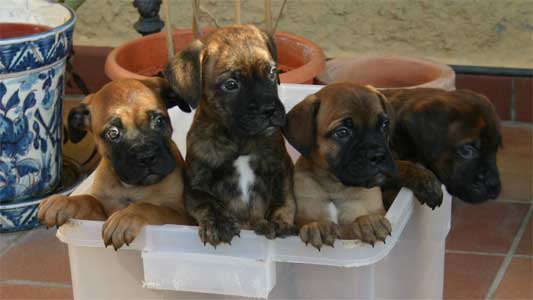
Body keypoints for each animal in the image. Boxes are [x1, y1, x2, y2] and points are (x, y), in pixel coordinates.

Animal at [164, 25, 296, 246]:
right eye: (231, 84)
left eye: (272, 72)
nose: (269, 110)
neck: (239, 139)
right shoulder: (194, 185)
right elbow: (208, 202)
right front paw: (219, 223)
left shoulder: (281, 165)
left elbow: (282, 194)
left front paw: (277, 219)